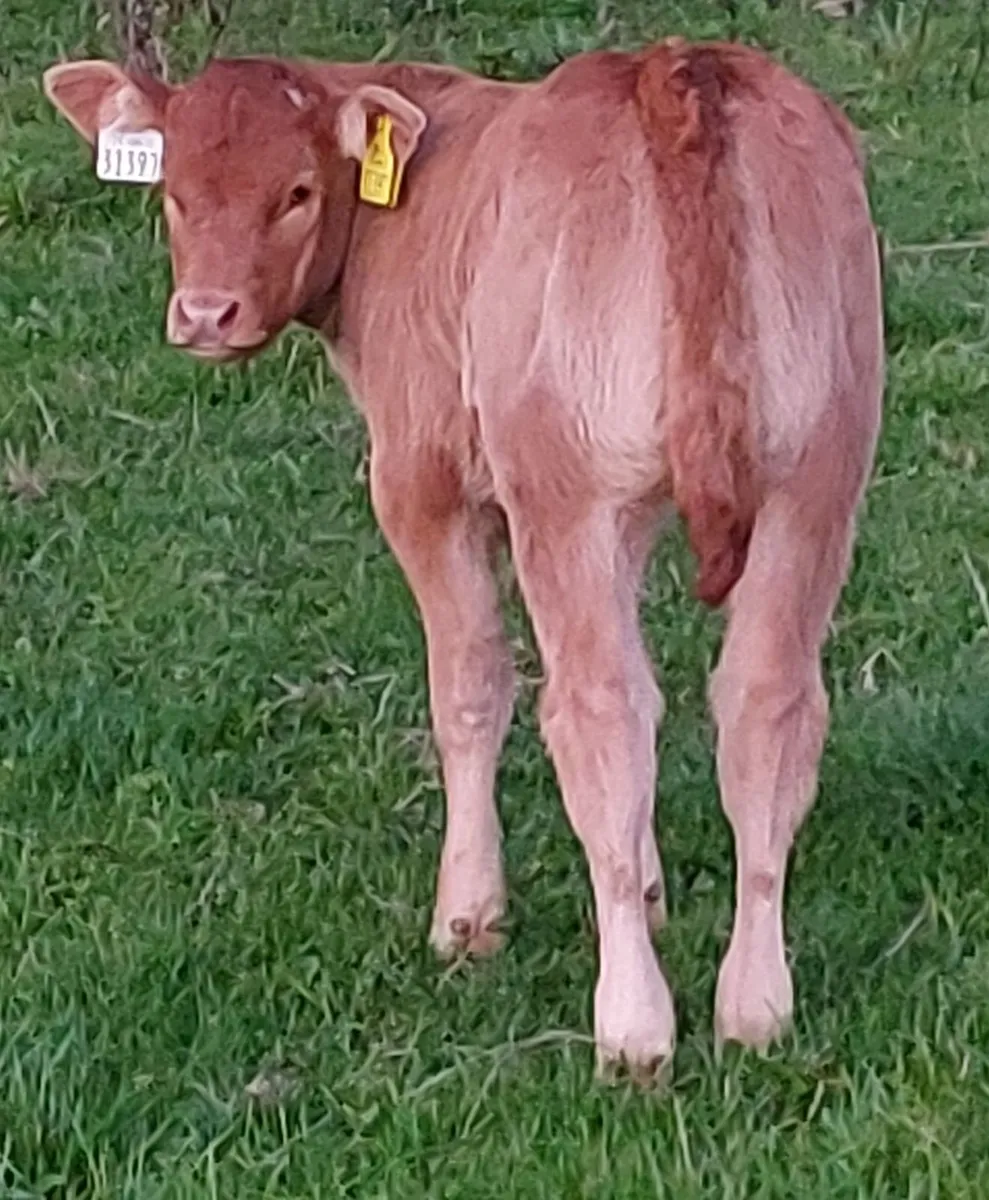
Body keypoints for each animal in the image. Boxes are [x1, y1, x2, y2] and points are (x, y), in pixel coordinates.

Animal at [43, 36, 883, 1084]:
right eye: (176, 194)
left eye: (295, 192)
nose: (205, 313)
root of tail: (674, 68)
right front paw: (649, 892)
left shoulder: (422, 479)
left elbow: (470, 686)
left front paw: (468, 917)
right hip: (813, 478)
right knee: (763, 704)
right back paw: (756, 1007)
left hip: (564, 493)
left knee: (597, 714)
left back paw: (633, 1028)